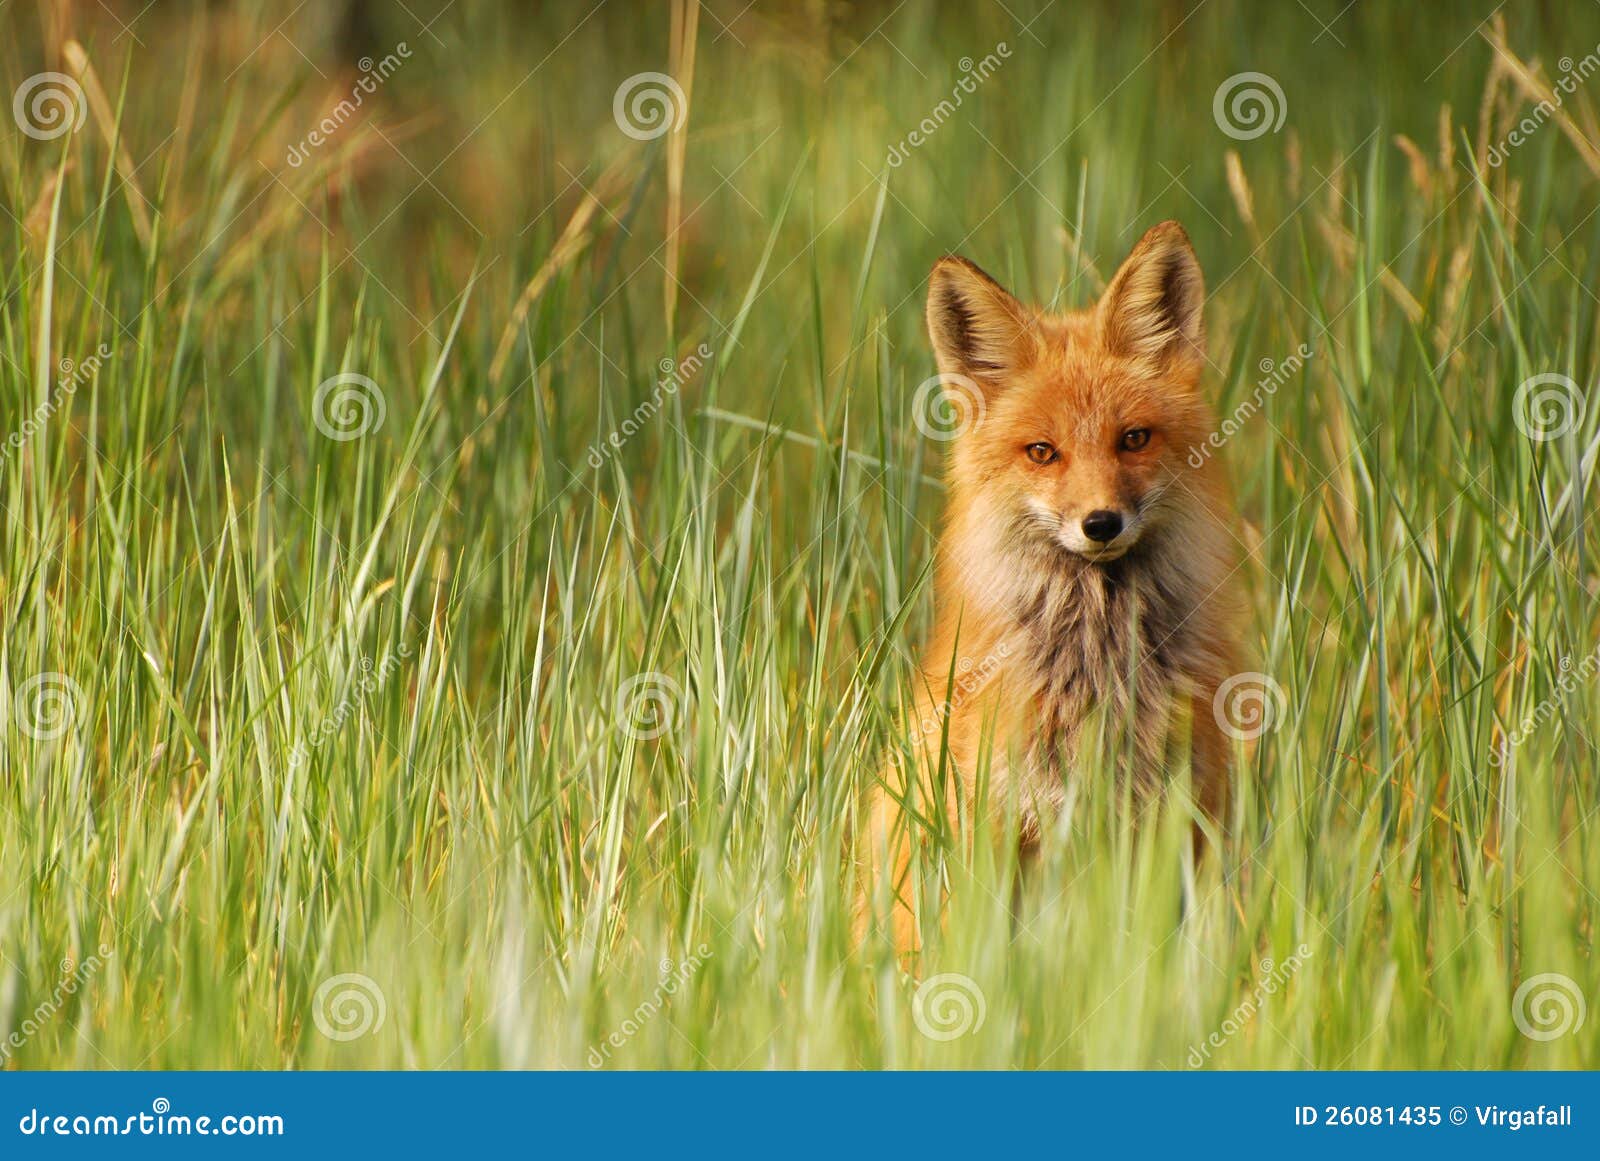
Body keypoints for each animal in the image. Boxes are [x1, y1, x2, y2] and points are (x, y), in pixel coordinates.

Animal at [864, 220, 1248, 953]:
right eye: (1043, 452)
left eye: (1134, 439)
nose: (1101, 523)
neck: (1095, 664)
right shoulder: (998, 824)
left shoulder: (1178, 821)